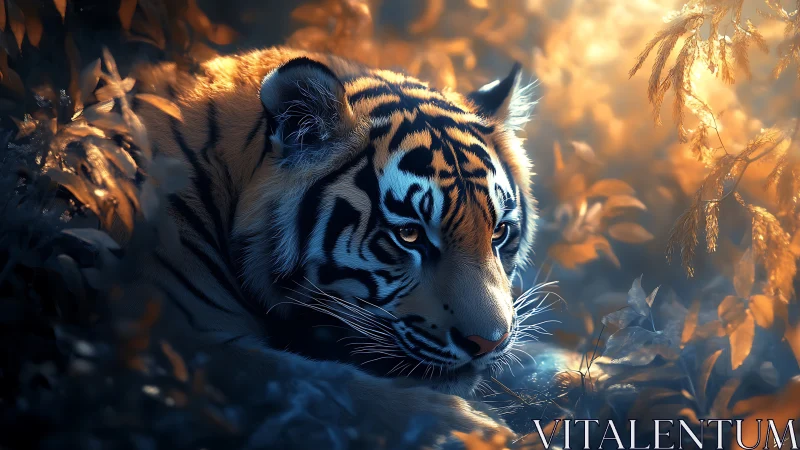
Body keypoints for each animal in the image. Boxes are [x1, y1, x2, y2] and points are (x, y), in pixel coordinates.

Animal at [124, 46, 538, 442]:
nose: (488, 343)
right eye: (410, 235)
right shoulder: (176, 336)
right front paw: (472, 429)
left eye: (499, 232)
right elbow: (315, 384)